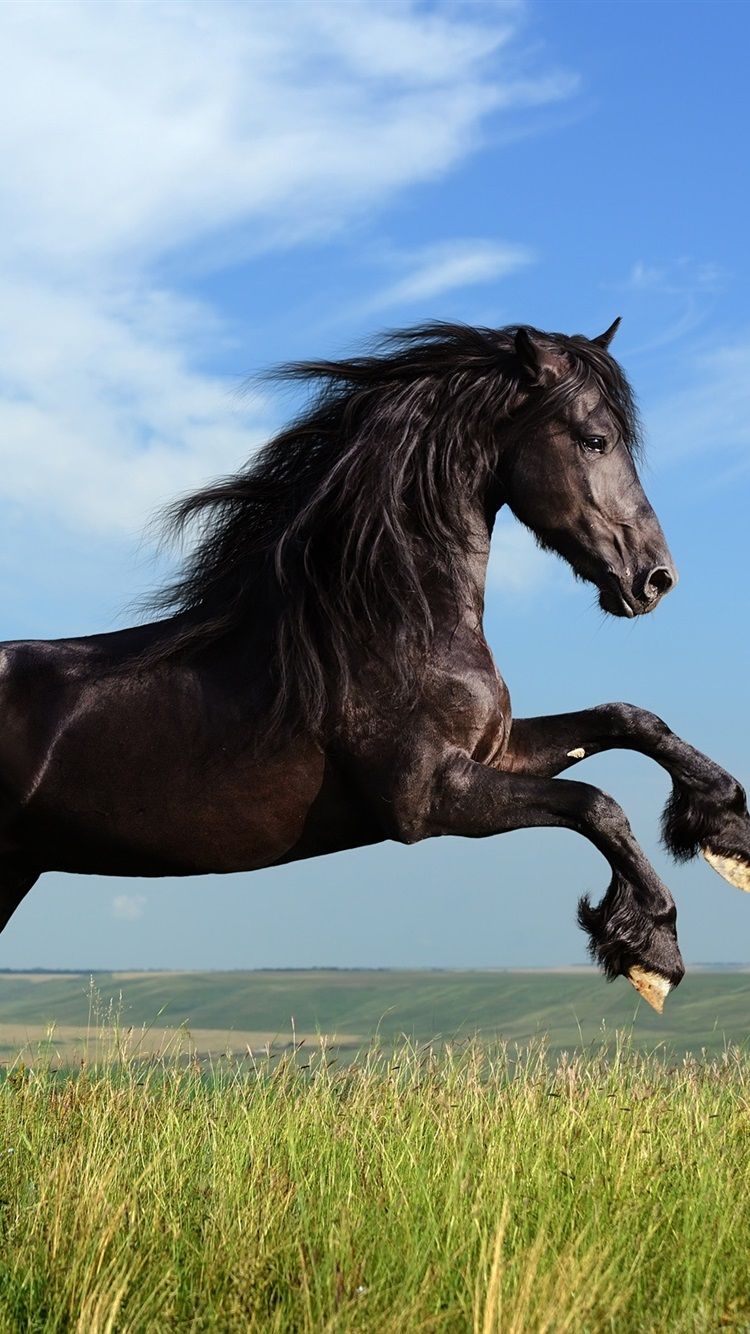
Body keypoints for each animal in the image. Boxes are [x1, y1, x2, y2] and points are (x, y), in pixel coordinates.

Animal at [1, 319, 748, 1010]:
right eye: (595, 439)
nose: (655, 579)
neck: (387, 627)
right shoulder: (428, 800)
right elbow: (598, 805)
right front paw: (652, 949)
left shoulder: (495, 752)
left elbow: (628, 719)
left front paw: (725, 830)